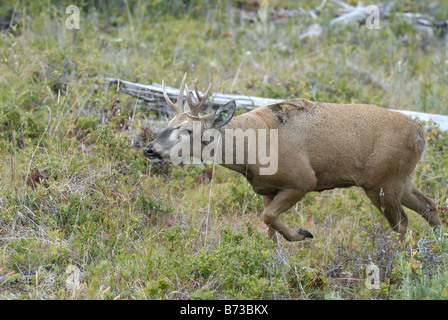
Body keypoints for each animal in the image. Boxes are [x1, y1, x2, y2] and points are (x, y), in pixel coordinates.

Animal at [143, 74, 440, 241]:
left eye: (187, 129)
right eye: (168, 122)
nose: (150, 149)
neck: (249, 150)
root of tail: (422, 134)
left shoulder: (302, 180)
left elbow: (268, 218)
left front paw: (302, 234)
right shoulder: (266, 189)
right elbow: (269, 228)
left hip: (381, 182)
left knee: (402, 223)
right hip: (402, 179)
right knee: (430, 205)